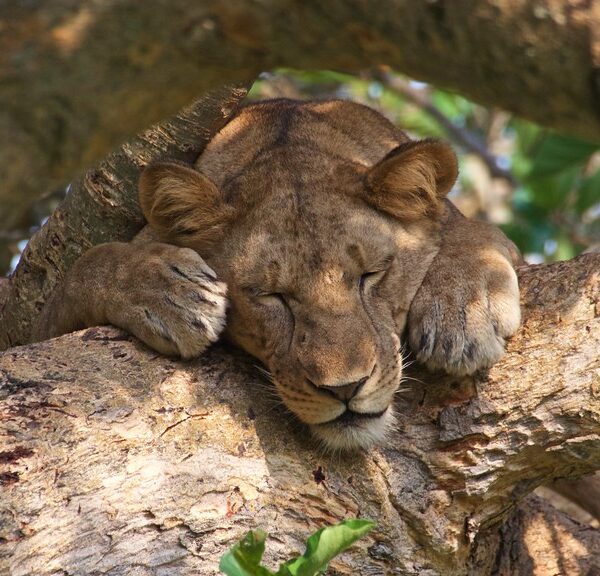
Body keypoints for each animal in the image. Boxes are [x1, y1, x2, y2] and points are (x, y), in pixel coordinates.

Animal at [34, 98, 521, 450]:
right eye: (271, 296)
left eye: (371, 275)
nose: (345, 389)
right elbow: (86, 265)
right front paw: (172, 294)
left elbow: (472, 233)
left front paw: (463, 315)